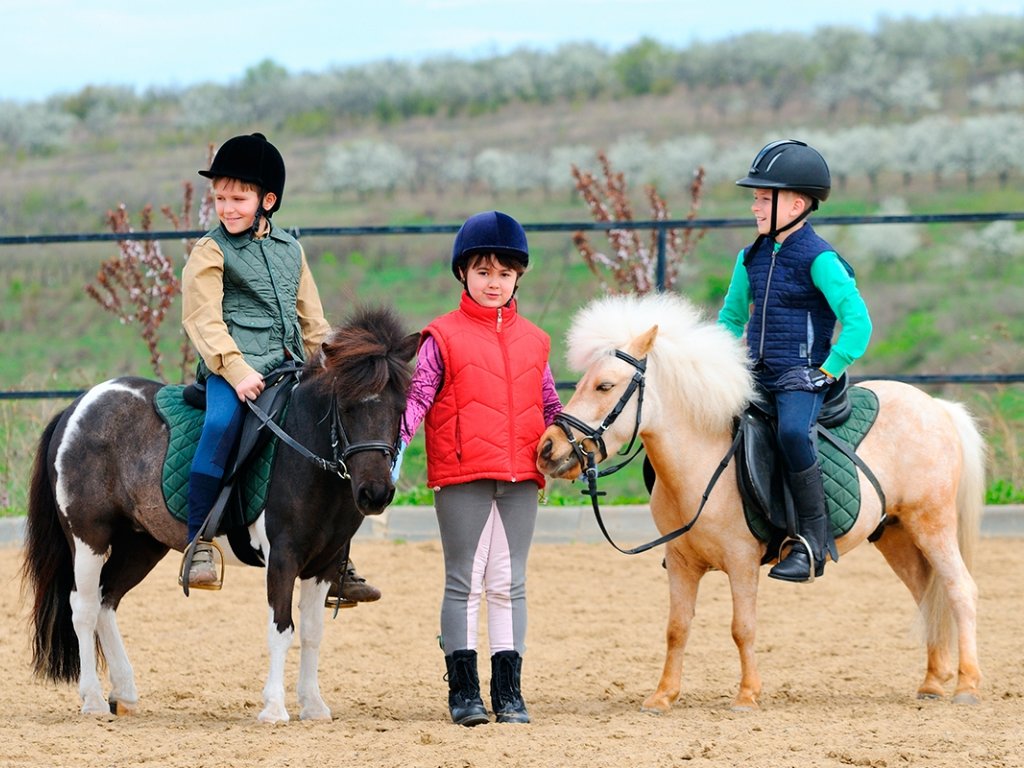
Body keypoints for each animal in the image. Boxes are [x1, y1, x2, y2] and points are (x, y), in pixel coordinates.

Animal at [536, 290, 983, 712]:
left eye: (605, 385)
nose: (548, 449)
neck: (702, 459)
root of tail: (938, 407)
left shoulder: (741, 560)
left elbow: (742, 627)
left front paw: (747, 695)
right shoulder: (680, 563)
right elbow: (676, 628)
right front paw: (662, 697)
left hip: (932, 524)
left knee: (959, 589)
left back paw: (967, 686)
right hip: (895, 535)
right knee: (927, 595)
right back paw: (932, 683)